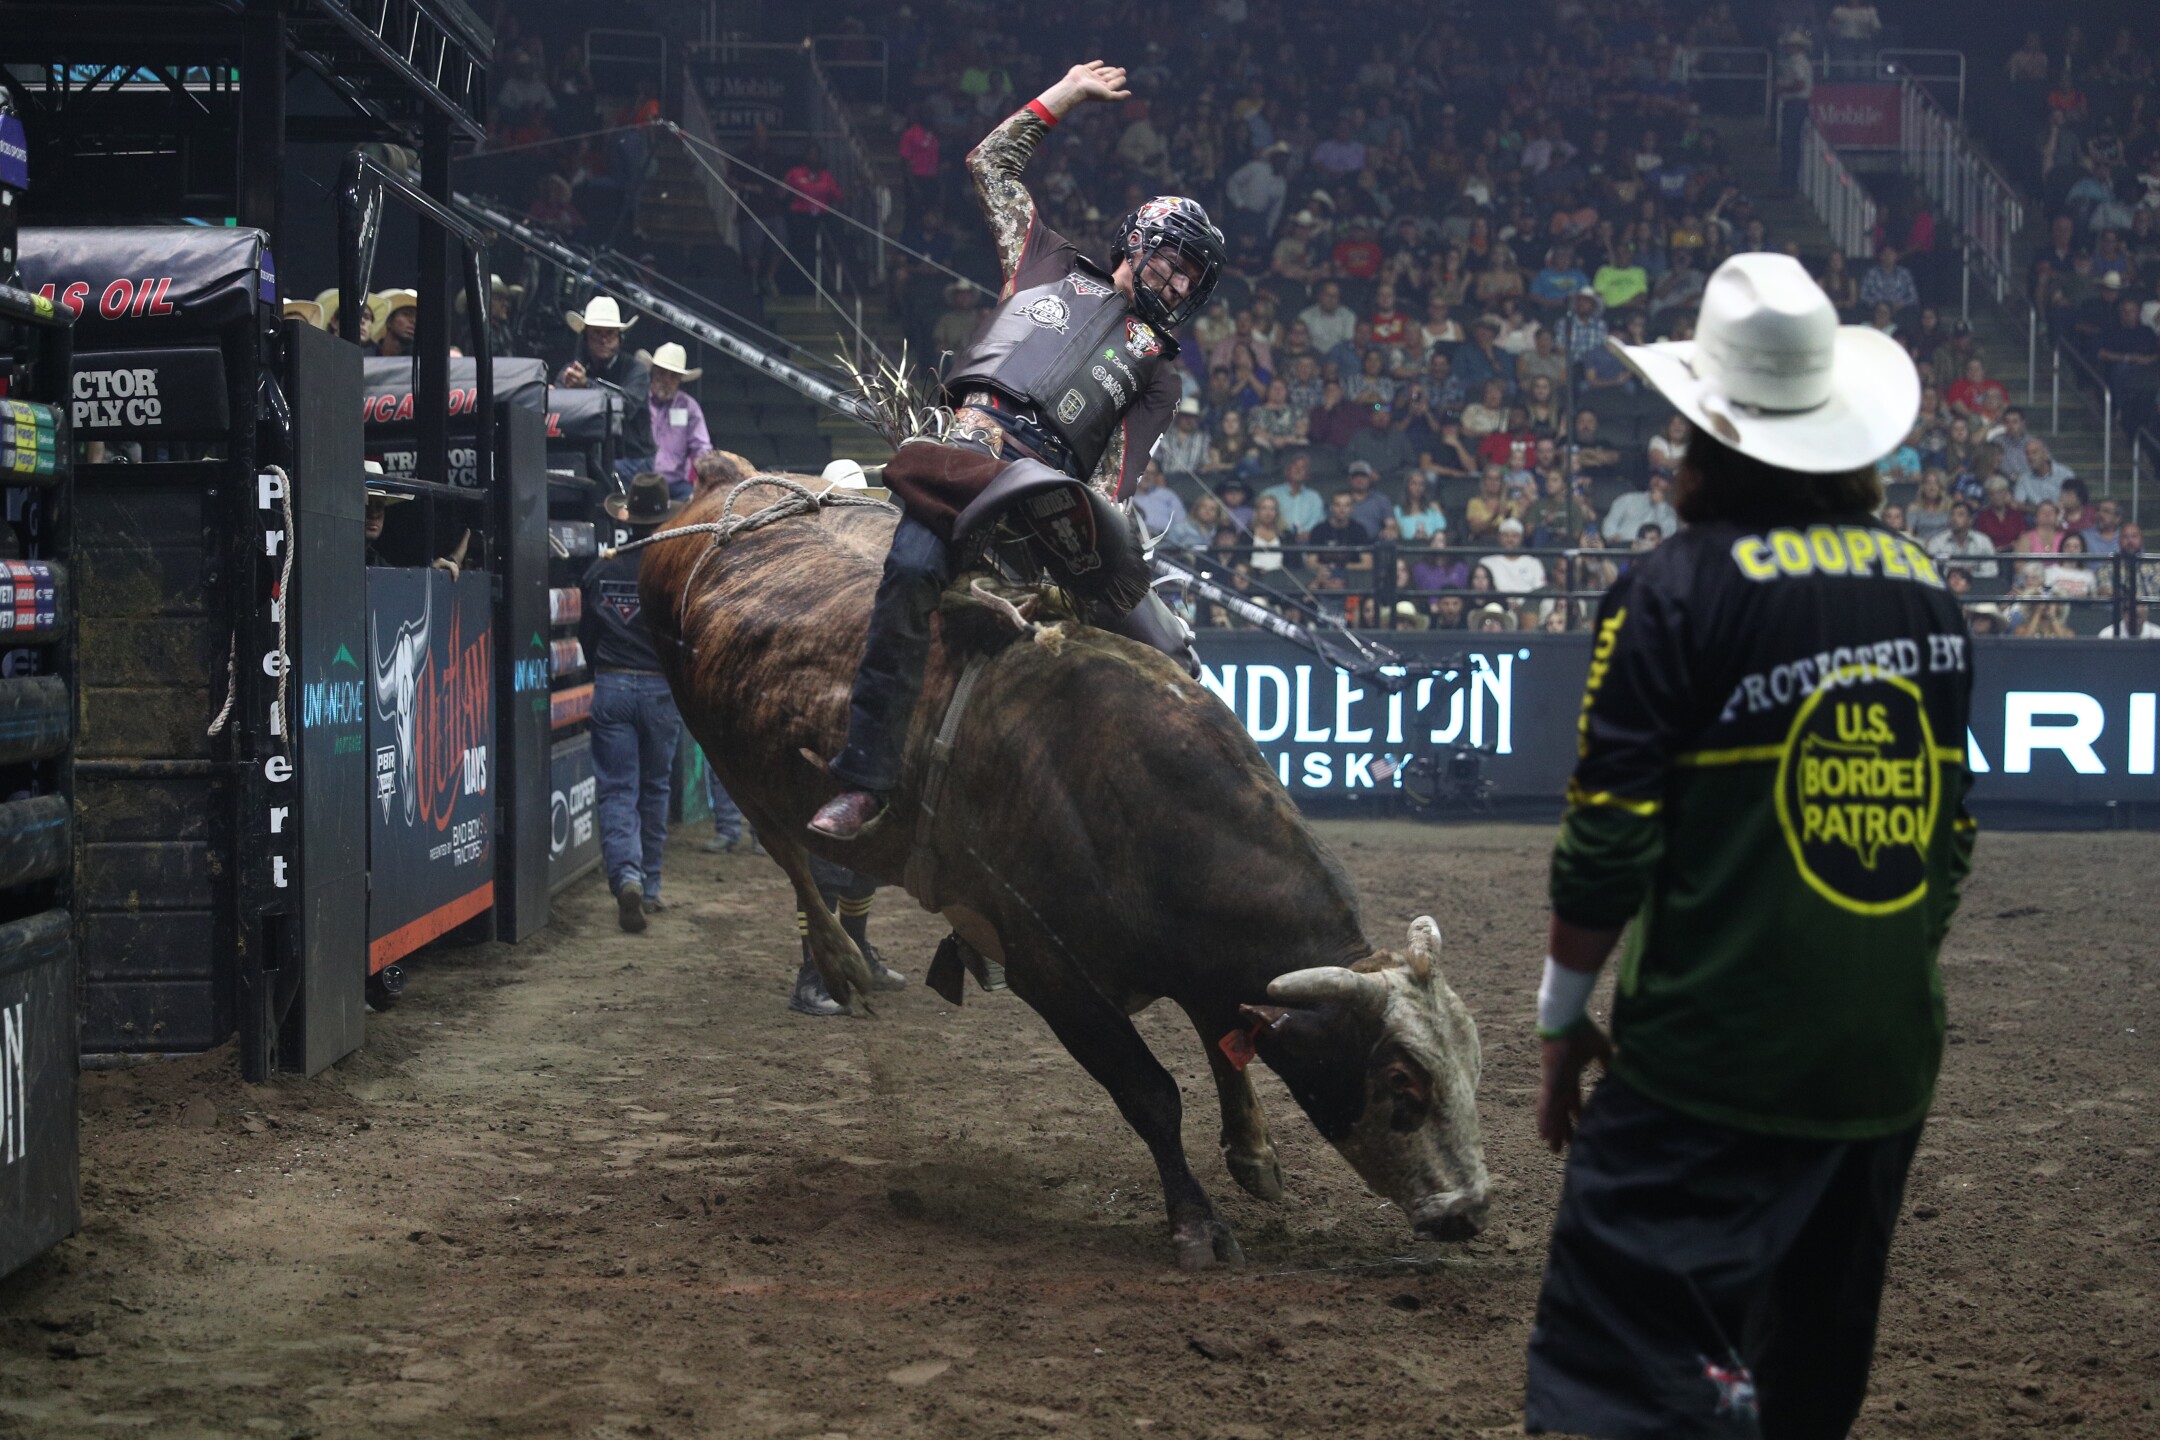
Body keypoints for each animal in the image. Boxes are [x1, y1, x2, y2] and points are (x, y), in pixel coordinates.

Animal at [639, 470, 1486, 1260]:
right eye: (1401, 1080)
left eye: (1472, 1066)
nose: (1469, 1210)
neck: (1119, 792)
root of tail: (719, 493)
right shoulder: (1051, 974)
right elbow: (1151, 1094)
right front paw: (1197, 1226)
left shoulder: (1204, 965)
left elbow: (1225, 1038)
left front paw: (1253, 1154)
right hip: (730, 761)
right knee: (790, 853)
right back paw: (840, 964)